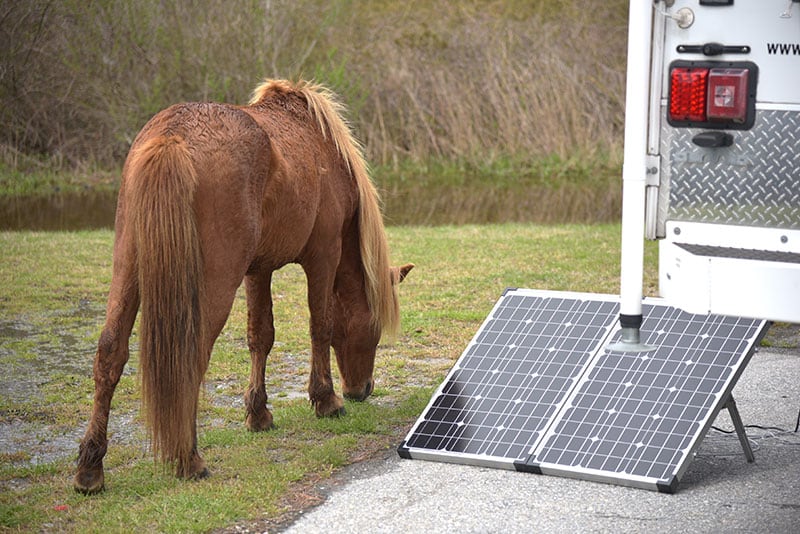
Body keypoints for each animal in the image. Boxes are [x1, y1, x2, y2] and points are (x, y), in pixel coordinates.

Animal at [73, 78, 412, 494]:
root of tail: (171, 137)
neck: (322, 150)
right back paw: (189, 459)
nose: (362, 389)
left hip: (128, 271)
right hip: (215, 284)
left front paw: (258, 413)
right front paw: (326, 400)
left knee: (110, 353)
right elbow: (320, 327)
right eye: (375, 330)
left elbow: (260, 337)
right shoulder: (323, 257)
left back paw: (90, 469)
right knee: (190, 359)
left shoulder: (257, 270)